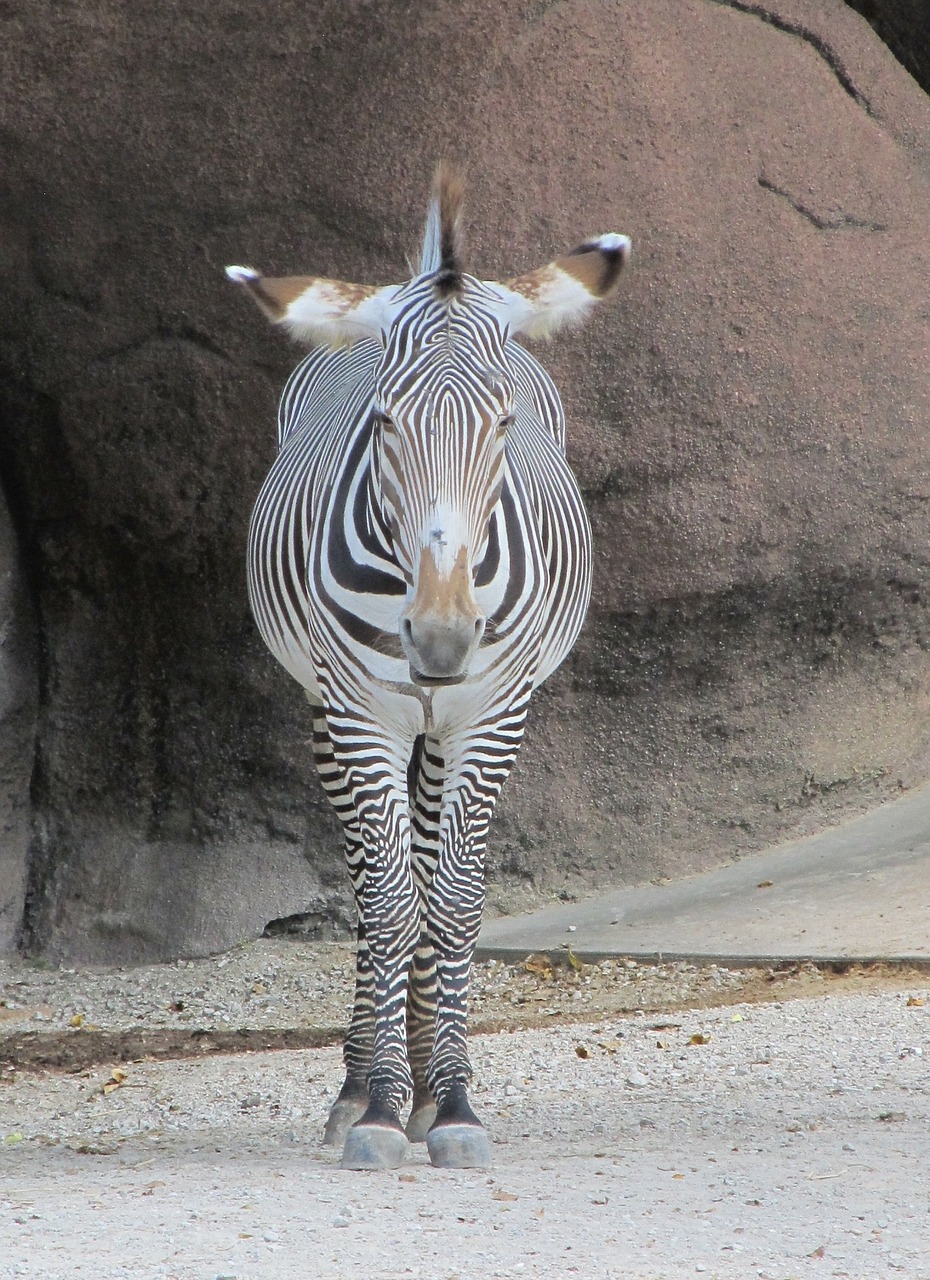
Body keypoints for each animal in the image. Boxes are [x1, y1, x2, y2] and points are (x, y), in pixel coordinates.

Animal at [227, 170, 629, 1172]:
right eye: (383, 423)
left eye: (504, 423)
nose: (441, 641)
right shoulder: (358, 713)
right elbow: (391, 900)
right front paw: (377, 1106)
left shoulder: (491, 717)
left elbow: (449, 903)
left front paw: (448, 1103)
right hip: (327, 710)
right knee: (374, 884)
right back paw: (363, 1086)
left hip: (445, 731)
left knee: (421, 864)